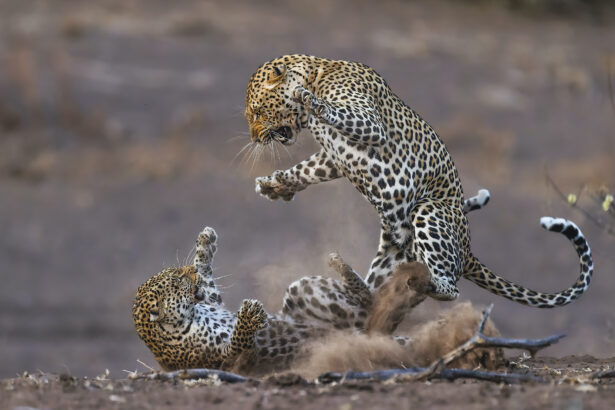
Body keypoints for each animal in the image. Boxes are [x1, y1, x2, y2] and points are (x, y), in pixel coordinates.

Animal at [132, 226, 430, 374]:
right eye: (178, 282)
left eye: (178, 272)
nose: (188, 274)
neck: (189, 318)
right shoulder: (232, 363)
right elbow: (238, 343)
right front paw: (249, 314)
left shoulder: (212, 301)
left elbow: (206, 276)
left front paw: (205, 241)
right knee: (374, 308)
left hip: (302, 290)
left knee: (372, 305)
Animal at [243, 55, 596, 310]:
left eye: (257, 112)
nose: (256, 138)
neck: (318, 71)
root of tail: (467, 251)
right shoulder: (333, 157)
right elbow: (307, 170)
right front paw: (275, 185)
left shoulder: (368, 124)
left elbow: (328, 109)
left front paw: (306, 98)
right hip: (392, 256)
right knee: (375, 296)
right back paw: (353, 282)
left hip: (428, 210)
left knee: (451, 289)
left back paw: (427, 284)